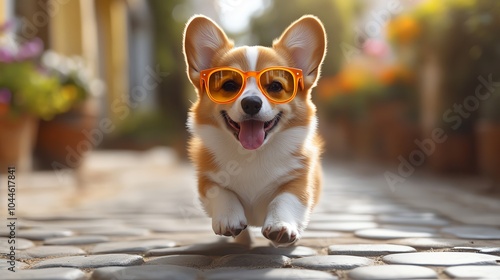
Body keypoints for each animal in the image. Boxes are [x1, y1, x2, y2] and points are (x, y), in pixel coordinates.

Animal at [182, 15, 326, 246]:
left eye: (275, 86)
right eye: (229, 85)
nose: (251, 103)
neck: (252, 154)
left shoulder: (300, 180)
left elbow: (285, 199)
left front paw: (280, 226)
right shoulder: (207, 179)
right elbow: (222, 193)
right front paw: (229, 219)